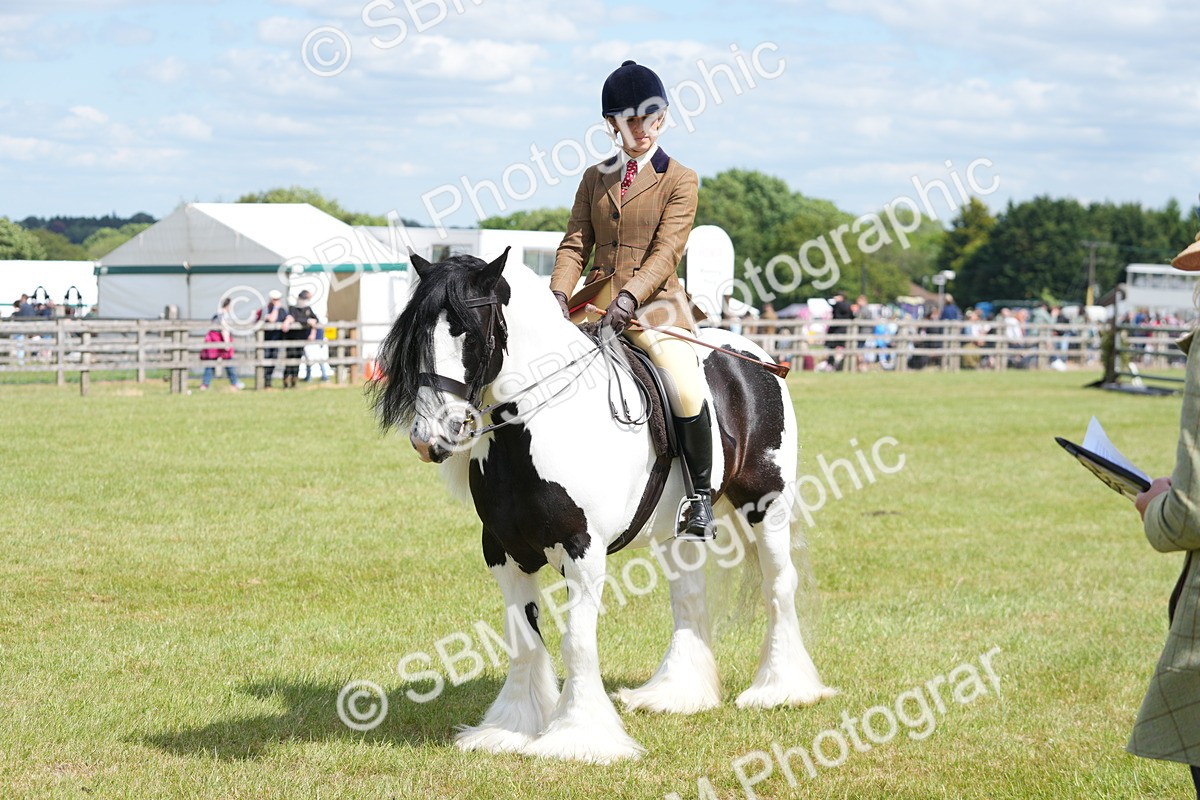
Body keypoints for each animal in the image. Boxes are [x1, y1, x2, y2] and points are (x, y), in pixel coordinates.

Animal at [373, 247, 834, 764]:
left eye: (468, 332)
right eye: (417, 336)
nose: (430, 437)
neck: (535, 425)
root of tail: (757, 358)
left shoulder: (583, 550)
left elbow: (576, 641)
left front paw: (578, 736)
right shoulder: (503, 551)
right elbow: (523, 639)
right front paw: (511, 728)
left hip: (766, 505)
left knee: (779, 586)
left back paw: (781, 688)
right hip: (680, 531)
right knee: (688, 597)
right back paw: (677, 694)